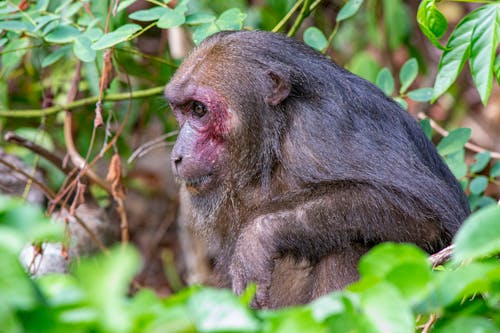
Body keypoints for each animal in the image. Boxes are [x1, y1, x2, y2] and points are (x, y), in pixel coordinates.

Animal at [164, 29, 468, 308]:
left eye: (199, 110)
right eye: (180, 109)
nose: (177, 154)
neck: (271, 140)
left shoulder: (323, 128)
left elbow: (424, 212)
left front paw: (258, 238)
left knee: (348, 244)